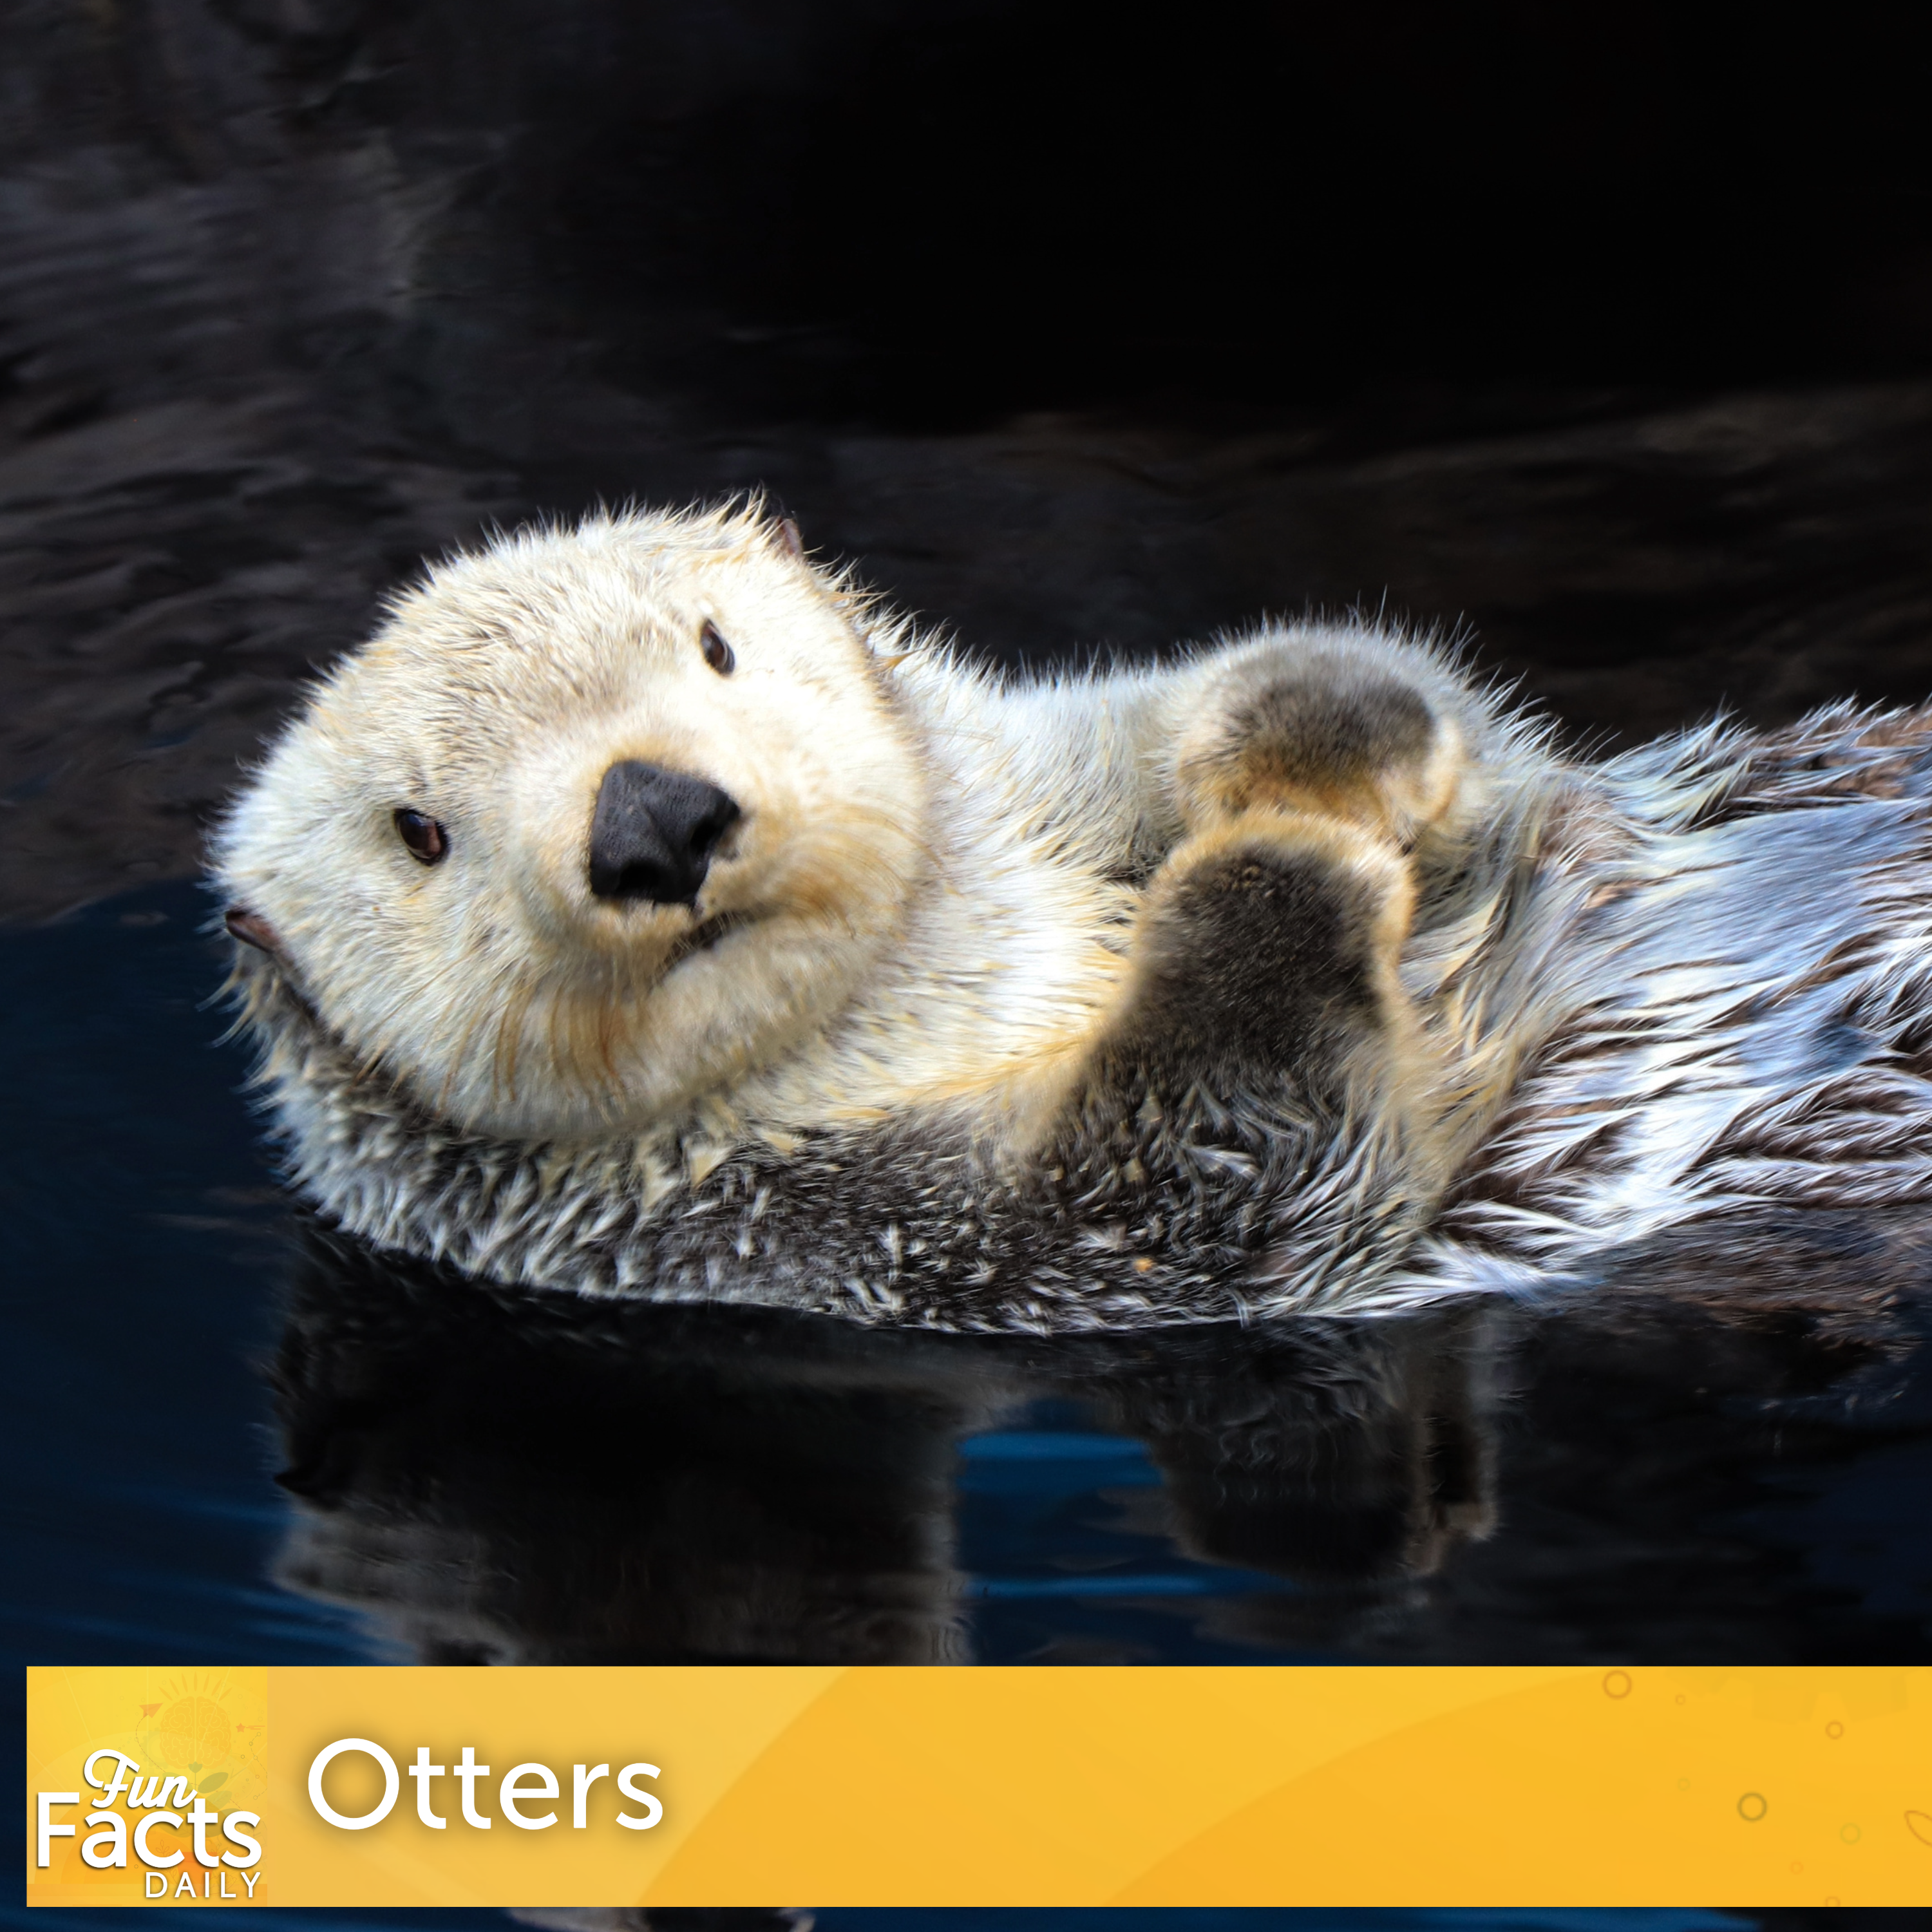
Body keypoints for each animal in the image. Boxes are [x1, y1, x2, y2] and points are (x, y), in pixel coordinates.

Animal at [215, 502, 1932, 1330]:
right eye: (419, 832)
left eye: (712, 645)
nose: (653, 819)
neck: (958, 979)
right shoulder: (848, 1234)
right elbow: (1220, 1175)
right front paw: (1278, 861)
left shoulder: (1054, 771)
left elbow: (1406, 713)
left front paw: (1313, 733)